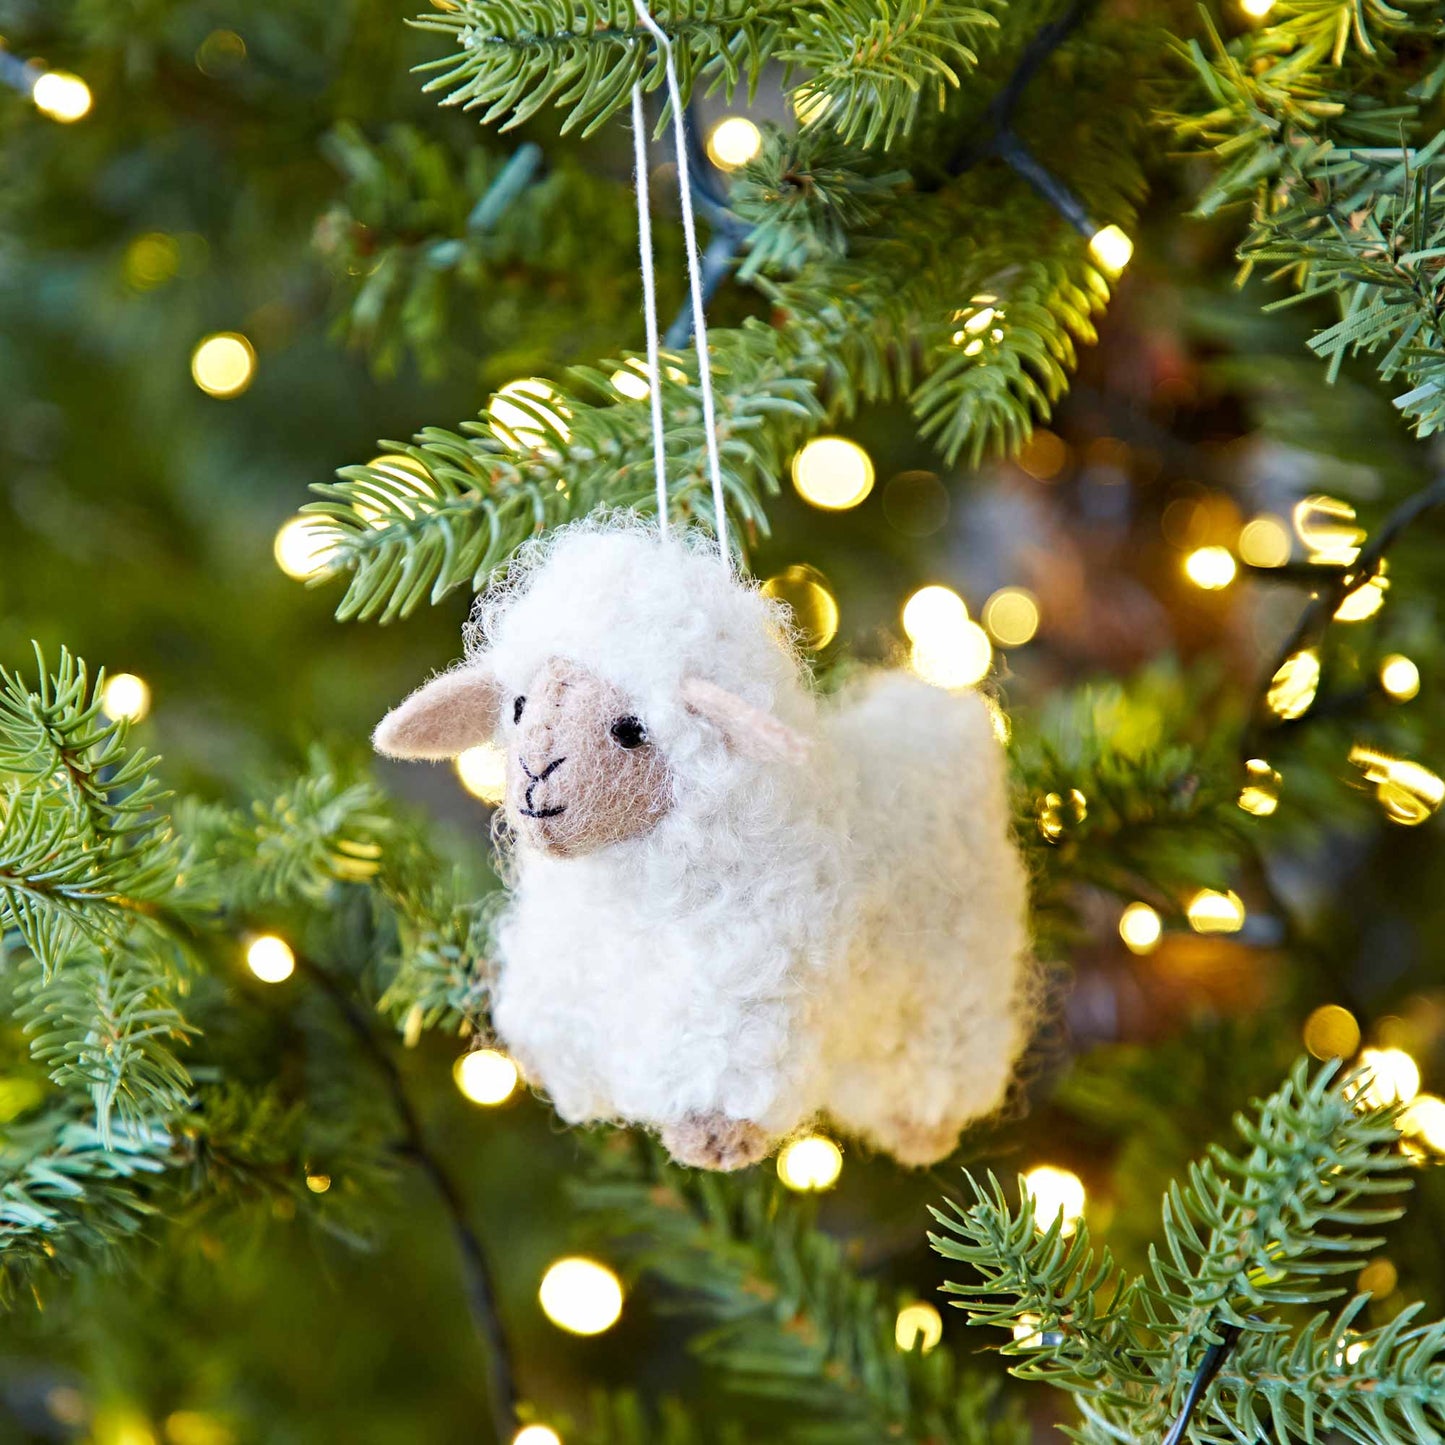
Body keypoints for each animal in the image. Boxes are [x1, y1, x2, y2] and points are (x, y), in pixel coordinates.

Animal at [374, 516, 1034, 1170]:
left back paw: (921, 1130)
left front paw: (713, 1139)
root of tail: (940, 719)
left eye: (629, 730)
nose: (537, 771)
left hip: (948, 988)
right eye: (517, 706)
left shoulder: (740, 1004)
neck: (626, 902)